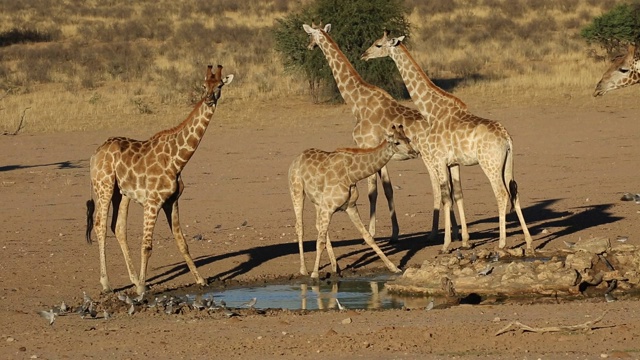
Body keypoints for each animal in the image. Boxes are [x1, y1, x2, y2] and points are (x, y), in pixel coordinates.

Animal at [85, 64, 235, 296]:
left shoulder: (171, 202)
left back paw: (133, 279)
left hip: (122, 193)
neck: (177, 160)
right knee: (100, 225)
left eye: (219, 85)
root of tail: (95, 155)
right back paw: (107, 284)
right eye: (203, 85)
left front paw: (201, 280)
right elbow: (147, 246)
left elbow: (182, 242)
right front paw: (142, 289)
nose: (209, 99)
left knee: (118, 228)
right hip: (105, 186)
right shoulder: (152, 202)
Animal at [290, 124, 420, 278]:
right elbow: (320, 241)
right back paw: (304, 269)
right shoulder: (329, 207)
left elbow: (368, 236)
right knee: (300, 227)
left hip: (318, 202)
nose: (414, 152)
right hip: (297, 191)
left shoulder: (350, 206)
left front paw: (394, 268)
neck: (352, 175)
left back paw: (336, 267)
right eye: (397, 142)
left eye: (408, 139)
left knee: (318, 226)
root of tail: (296, 159)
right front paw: (315, 274)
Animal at [302, 23, 464, 245]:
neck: (356, 101)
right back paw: (455, 233)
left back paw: (437, 234)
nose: (308, 46)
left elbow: (372, 192)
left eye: (310, 34)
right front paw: (394, 233)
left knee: (438, 187)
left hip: (430, 157)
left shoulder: (365, 145)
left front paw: (370, 234)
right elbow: (388, 190)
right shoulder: (380, 153)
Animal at [360, 32, 536, 255]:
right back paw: (529, 242)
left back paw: (502, 243)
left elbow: (445, 197)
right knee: (514, 192)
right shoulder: (452, 163)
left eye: (378, 44)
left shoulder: (440, 160)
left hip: (490, 165)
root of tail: (507, 139)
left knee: (502, 194)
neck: (431, 111)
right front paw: (464, 241)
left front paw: (444, 245)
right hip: (507, 165)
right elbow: (456, 195)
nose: (364, 55)